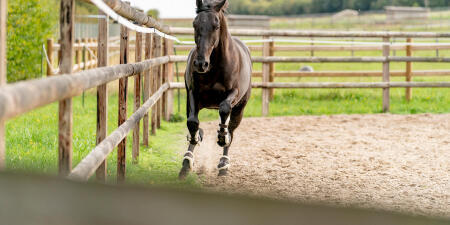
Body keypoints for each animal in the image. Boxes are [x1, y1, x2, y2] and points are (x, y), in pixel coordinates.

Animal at [178, 0, 251, 179]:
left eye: (216, 25)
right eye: (195, 24)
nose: (200, 64)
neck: (215, 65)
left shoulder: (233, 93)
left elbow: (224, 110)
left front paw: (222, 138)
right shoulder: (193, 93)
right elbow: (192, 122)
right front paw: (190, 152)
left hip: (240, 108)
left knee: (232, 128)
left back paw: (224, 163)